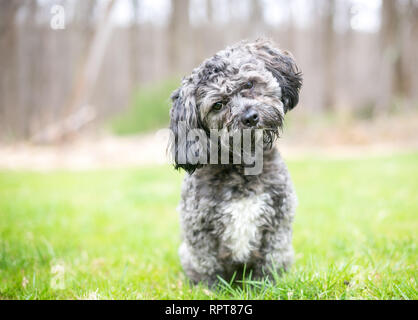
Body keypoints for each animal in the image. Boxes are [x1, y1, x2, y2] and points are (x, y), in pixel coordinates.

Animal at [168, 38, 302, 286]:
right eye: (218, 105)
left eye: (249, 84)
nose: (250, 117)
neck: (241, 169)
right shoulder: (198, 229)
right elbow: (208, 266)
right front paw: (211, 288)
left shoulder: (278, 222)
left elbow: (271, 259)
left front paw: (267, 285)